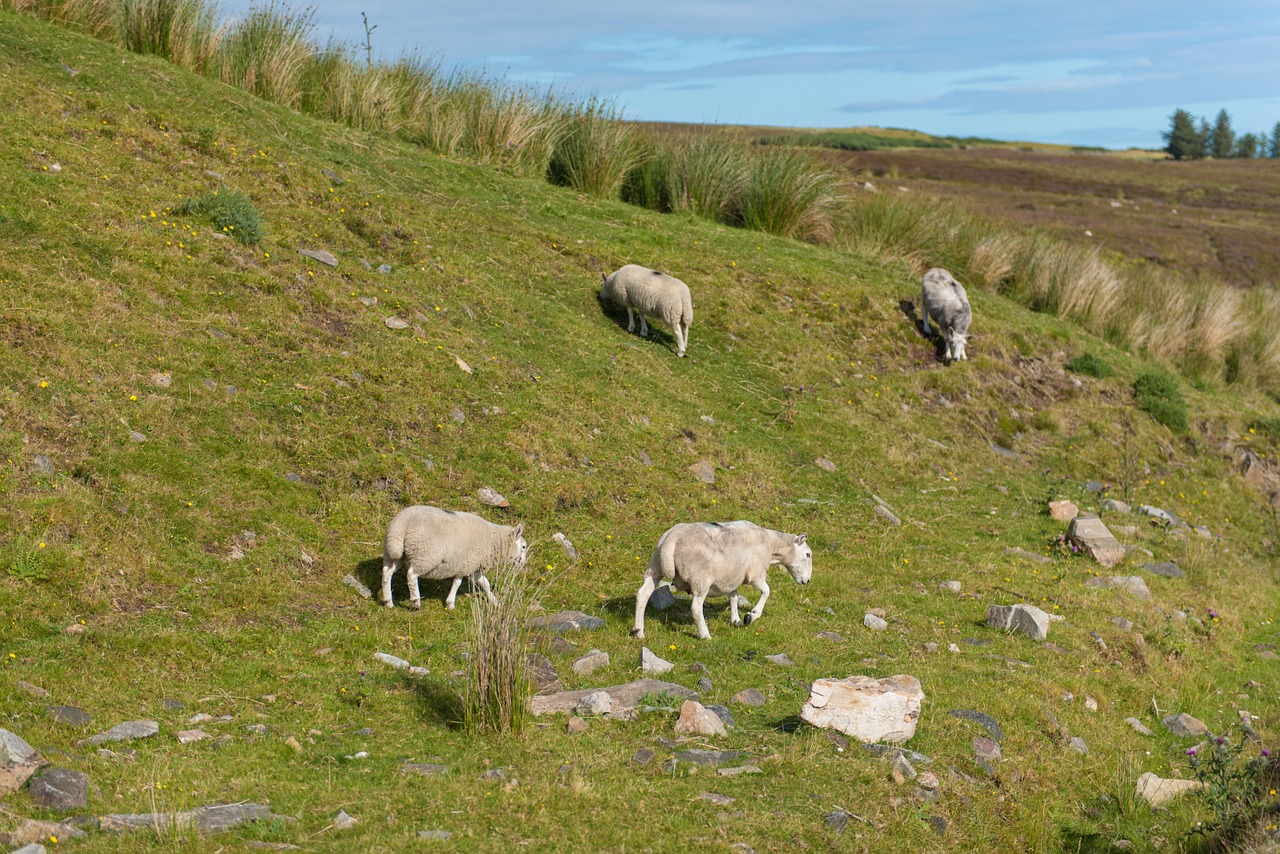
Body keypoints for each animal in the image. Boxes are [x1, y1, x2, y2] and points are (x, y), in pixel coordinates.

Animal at [376, 504, 527, 612]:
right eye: (524, 547)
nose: (523, 563)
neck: (495, 541)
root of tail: (401, 523)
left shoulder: (471, 566)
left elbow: (484, 584)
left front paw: (495, 602)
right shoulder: (468, 563)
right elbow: (457, 583)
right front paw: (450, 603)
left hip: (395, 553)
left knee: (387, 573)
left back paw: (388, 601)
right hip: (425, 555)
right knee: (411, 575)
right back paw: (416, 601)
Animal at [627, 522, 808, 640]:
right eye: (808, 554)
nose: (806, 581)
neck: (772, 546)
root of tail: (672, 540)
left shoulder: (733, 576)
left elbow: (734, 597)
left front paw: (735, 620)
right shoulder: (755, 573)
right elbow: (766, 591)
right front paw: (751, 616)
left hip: (655, 567)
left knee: (642, 594)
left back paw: (639, 632)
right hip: (700, 580)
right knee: (695, 608)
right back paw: (705, 635)